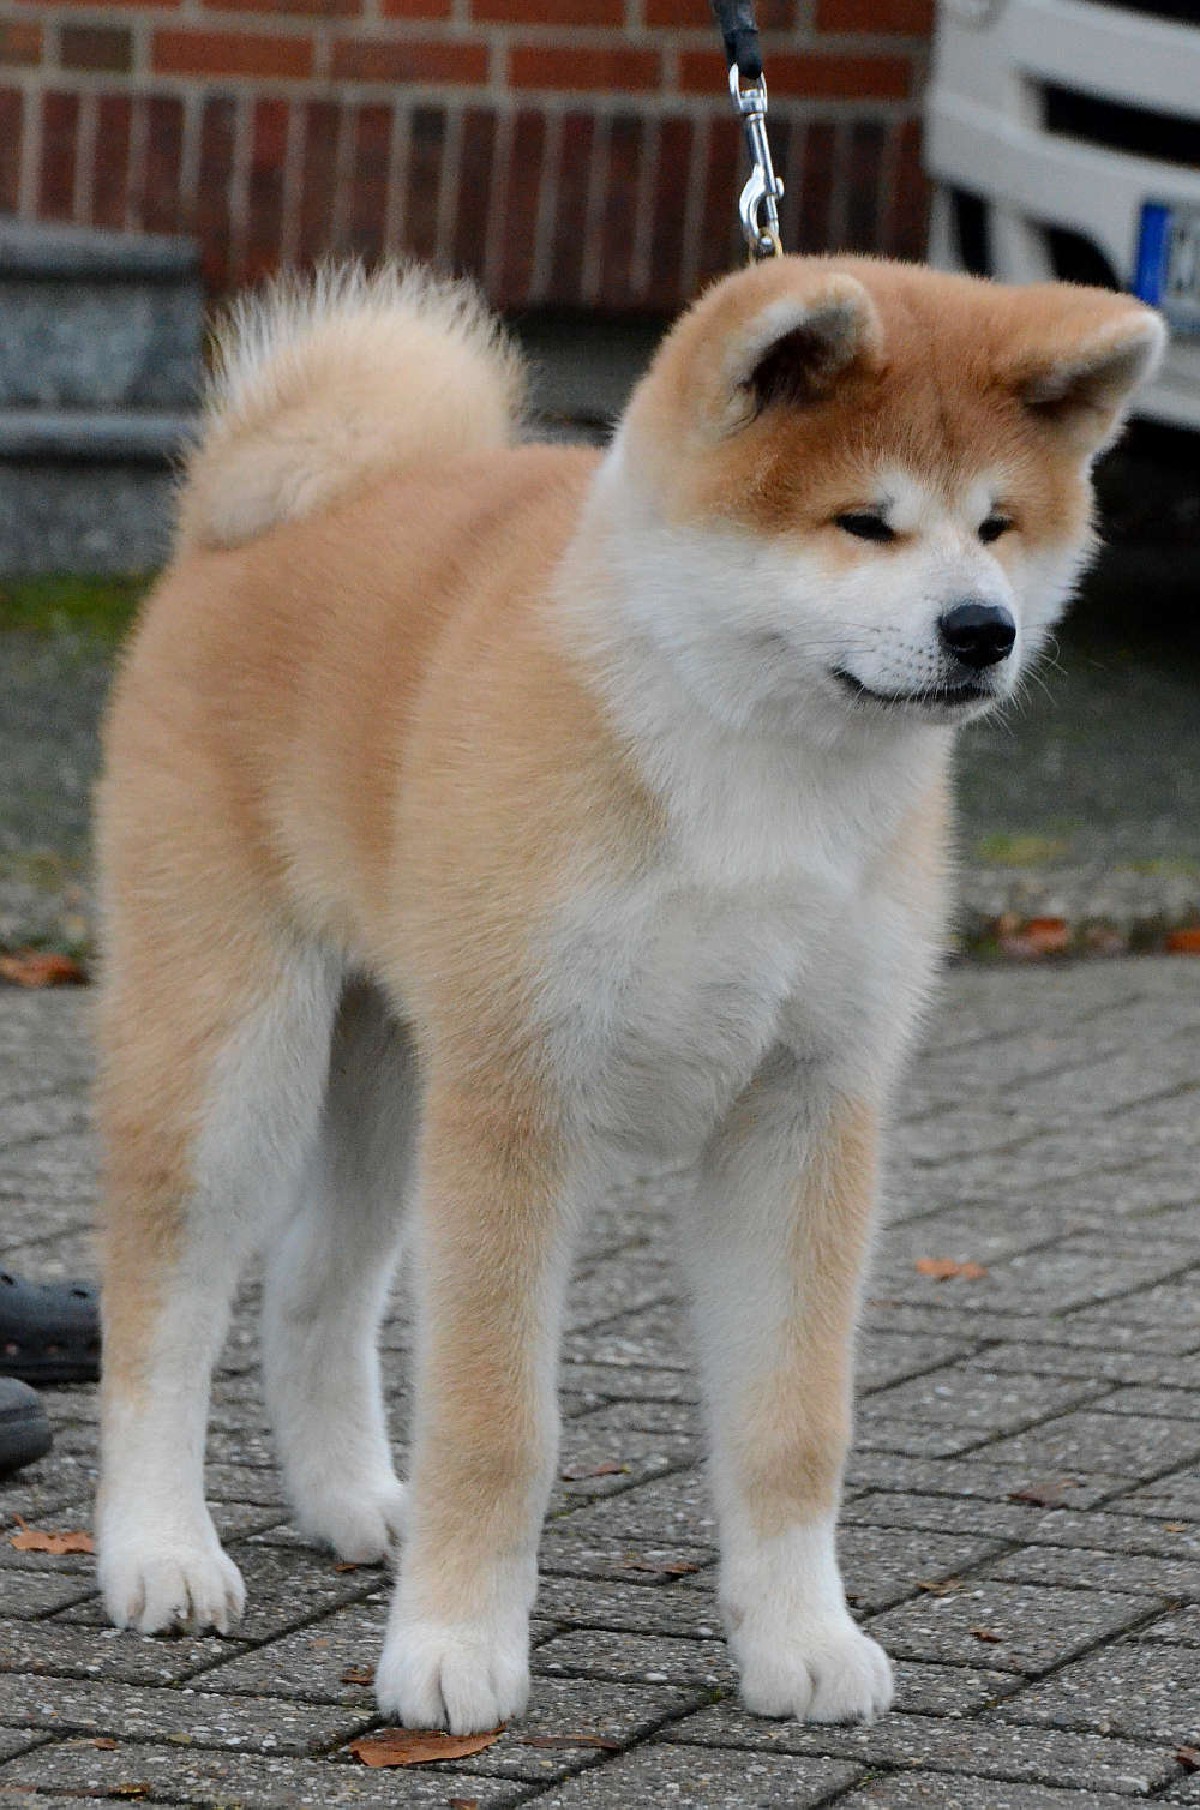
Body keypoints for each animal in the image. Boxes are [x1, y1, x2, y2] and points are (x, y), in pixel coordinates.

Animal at [94, 256, 1162, 1733]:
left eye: (999, 524)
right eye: (865, 522)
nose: (981, 629)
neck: (754, 769)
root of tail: (247, 526)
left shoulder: (803, 1112)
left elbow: (793, 1425)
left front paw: (800, 1639)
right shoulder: (519, 1108)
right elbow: (498, 1425)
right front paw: (455, 1646)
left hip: (393, 1067)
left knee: (317, 1282)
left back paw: (356, 1499)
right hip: (240, 1051)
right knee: (165, 1305)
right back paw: (160, 1551)